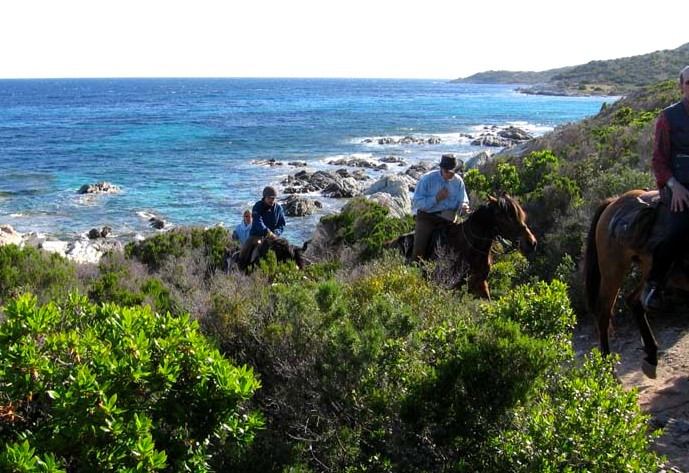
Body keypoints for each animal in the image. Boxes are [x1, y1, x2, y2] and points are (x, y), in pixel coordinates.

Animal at [580, 188, 688, 376]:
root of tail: (613, 202)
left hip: (648, 269)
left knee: (634, 302)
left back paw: (651, 356)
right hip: (613, 271)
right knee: (604, 313)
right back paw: (608, 370)